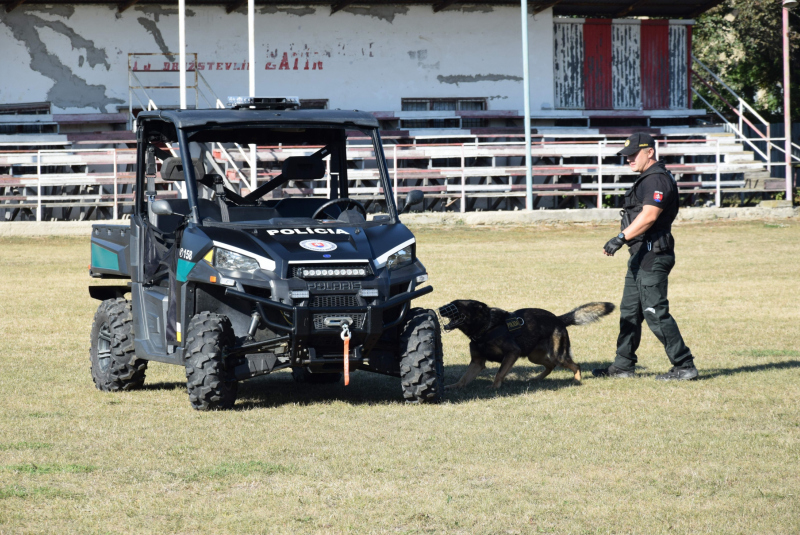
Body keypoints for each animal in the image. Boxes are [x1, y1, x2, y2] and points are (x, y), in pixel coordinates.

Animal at [440, 302, 616, 390]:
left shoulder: (512, 353)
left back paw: (576, 380)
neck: (486, 327)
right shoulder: (477, 362)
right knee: (550, 365)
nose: (441, 308)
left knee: (575, 365)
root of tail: (558, 319)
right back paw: (536, 378)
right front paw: (454, 386)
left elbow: (499, 373)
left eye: (457, 305)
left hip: (558, 355)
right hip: (534, 357)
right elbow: (464, 378)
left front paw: (495, 387)